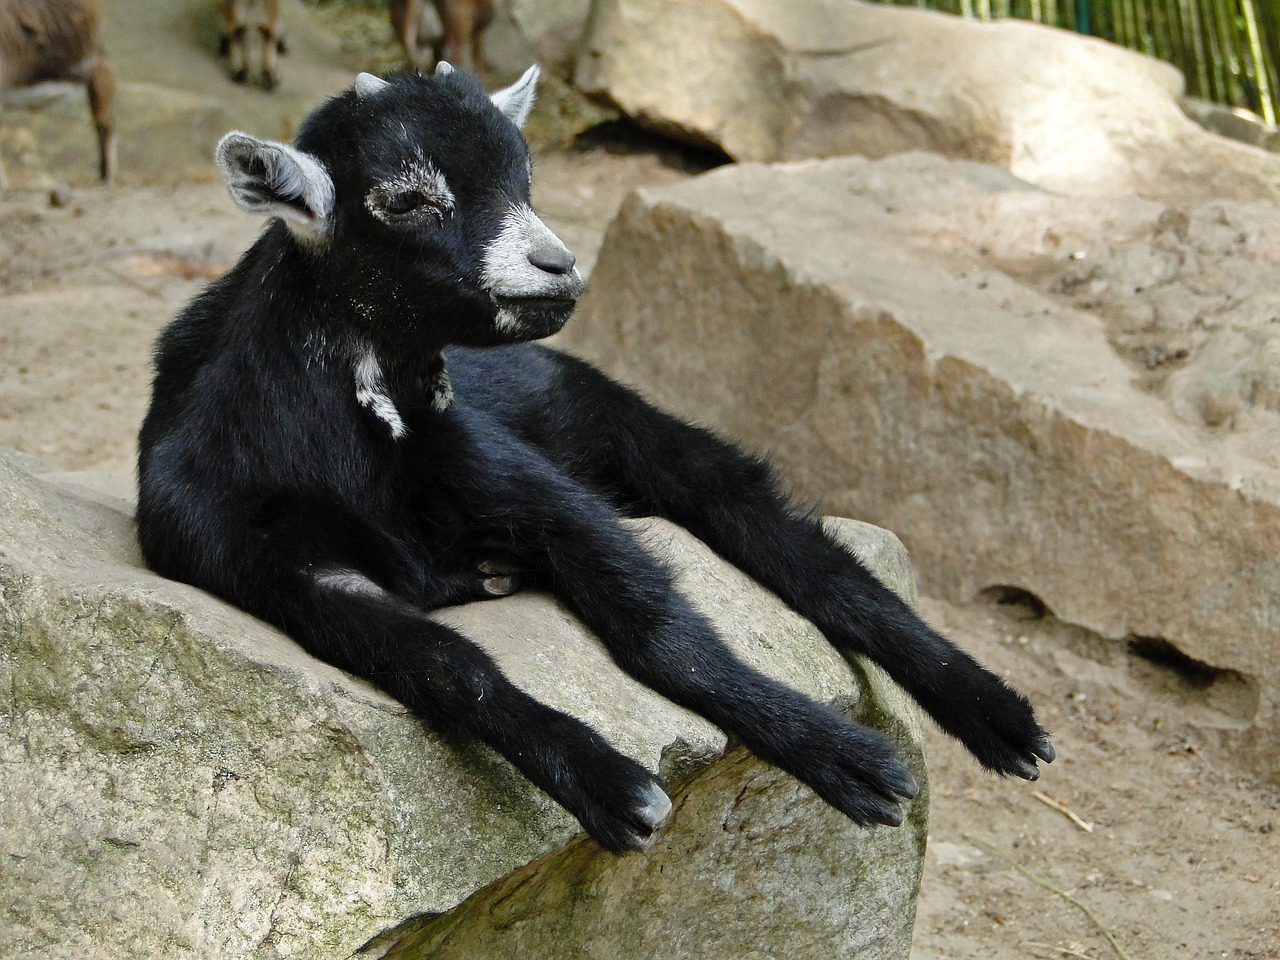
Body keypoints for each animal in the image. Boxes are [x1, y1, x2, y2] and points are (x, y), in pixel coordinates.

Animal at [137, 65, 1054, 853]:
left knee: (780, 534)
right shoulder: (259, 558)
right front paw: (607, 784)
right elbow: (447, 666)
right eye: (404, 198)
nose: (558, 267)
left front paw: (842, 756)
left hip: (622, 425)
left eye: (525, 181)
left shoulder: (522, 482)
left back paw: (1001, 717)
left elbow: (658, 628)